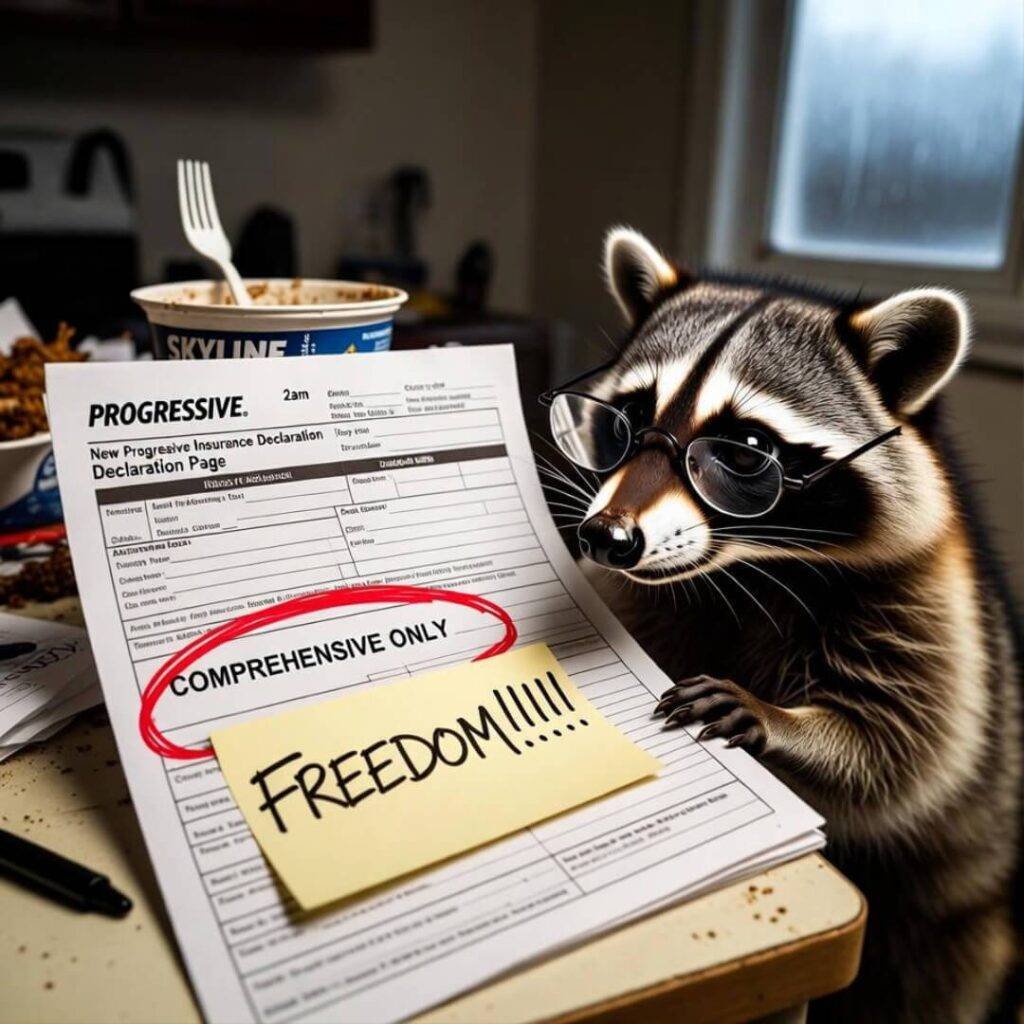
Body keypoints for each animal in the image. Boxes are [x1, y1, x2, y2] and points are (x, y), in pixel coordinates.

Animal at [554, 228, 1023, 1023]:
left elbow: (905, 757)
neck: (744, 570)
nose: (605, 538)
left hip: (954, 930)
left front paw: (782, 722)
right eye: (626, 421)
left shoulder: (929, 610)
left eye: (745, 451)